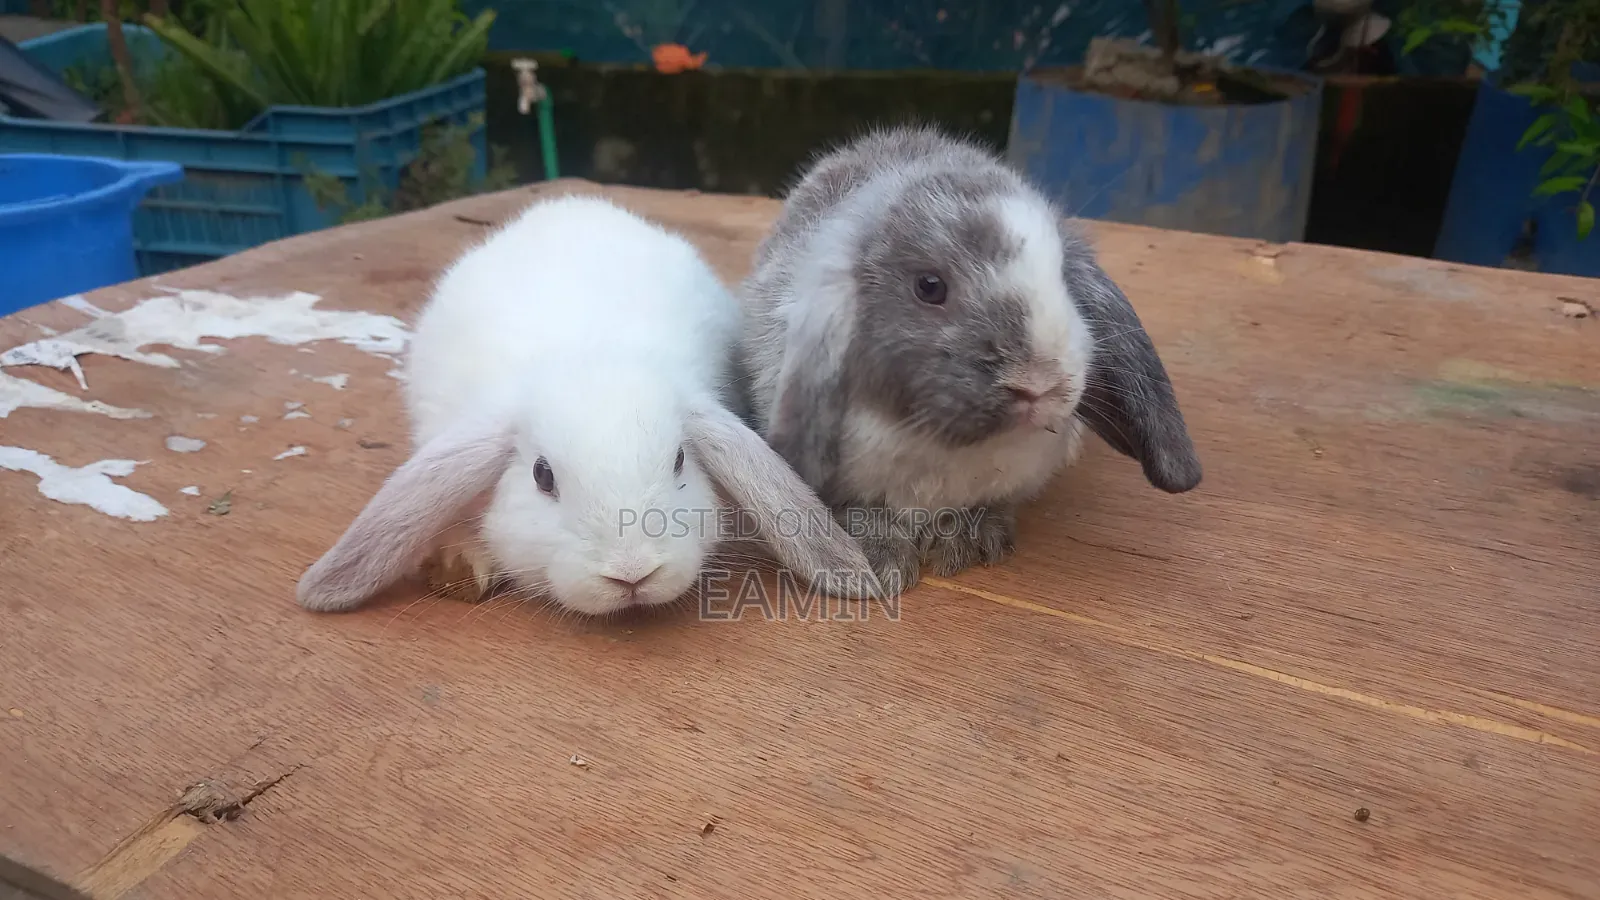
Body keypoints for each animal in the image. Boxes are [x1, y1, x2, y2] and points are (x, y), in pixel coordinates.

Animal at [736, 124, 1202, 592]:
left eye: (1065, 281)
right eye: (929, 286)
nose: (1037, 383)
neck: (941, 446)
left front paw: (967, 543)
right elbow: (865, 513)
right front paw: (884, 563)